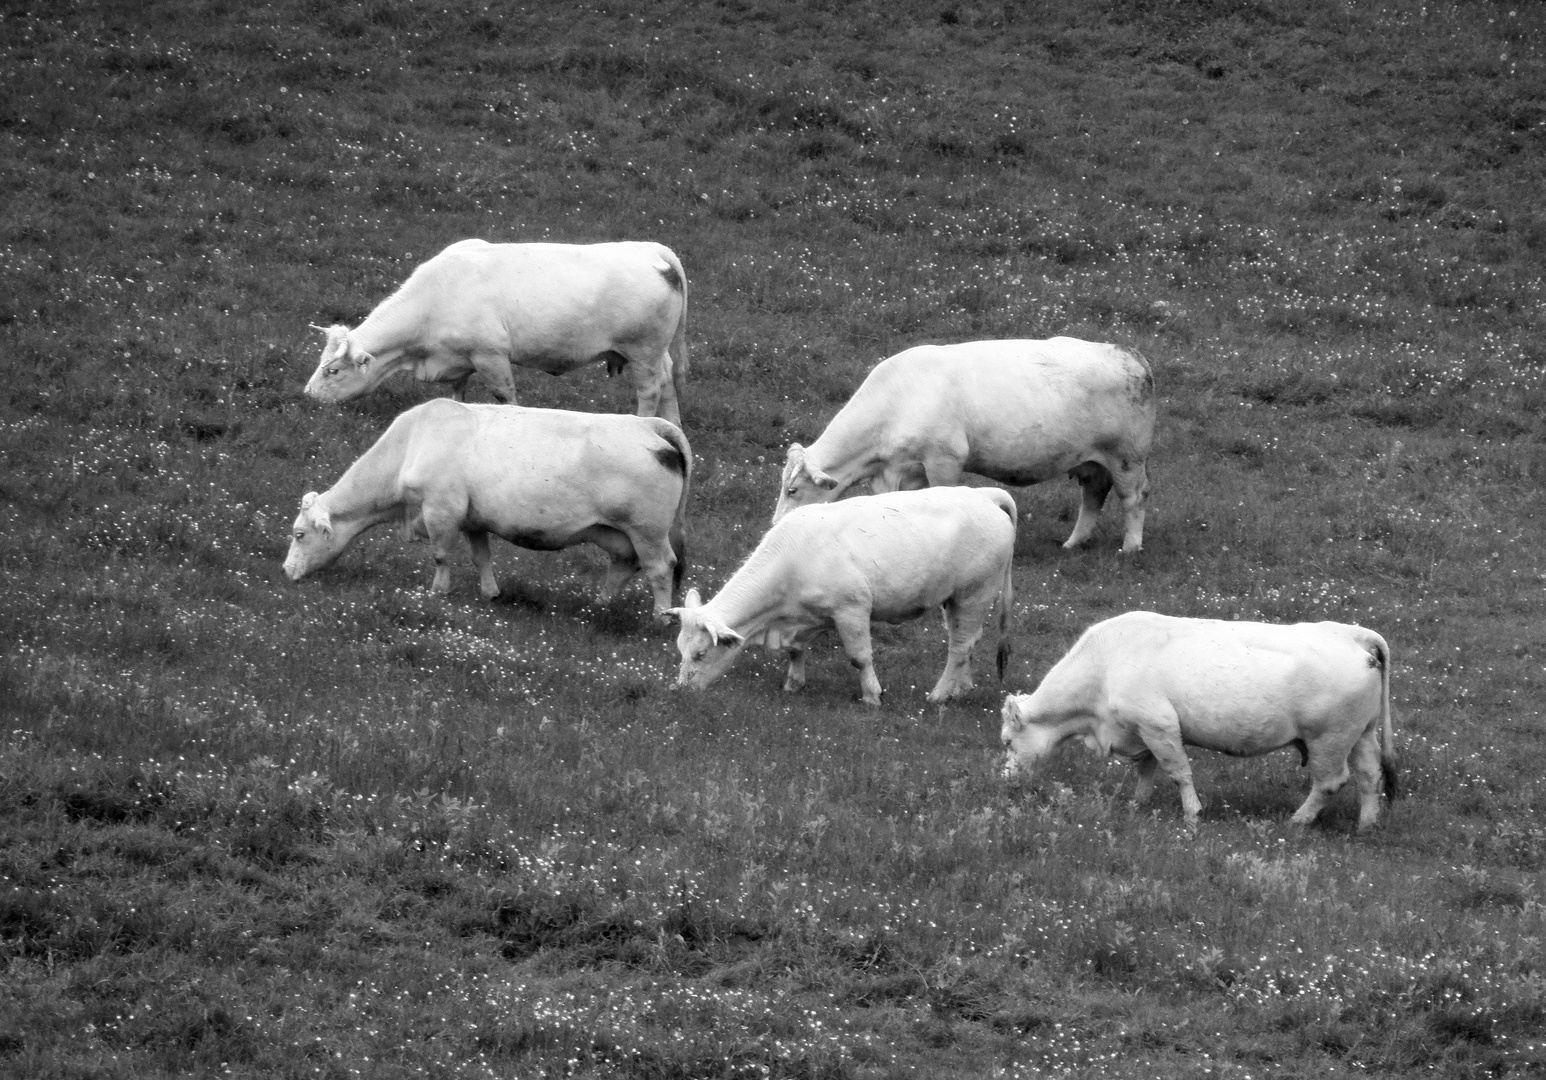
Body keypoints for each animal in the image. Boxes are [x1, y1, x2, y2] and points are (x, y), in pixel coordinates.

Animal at [281, 398, 692, 618]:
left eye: (299, 534)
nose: (286, 571)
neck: (413, 442)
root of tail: (649, 426)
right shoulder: (472, 519)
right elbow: (482, 556)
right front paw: (490, 593)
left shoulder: (441, 510)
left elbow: (441, 555)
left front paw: (438, 592)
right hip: (619, 534)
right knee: (623, 566)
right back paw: (599, 605)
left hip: (647, 531)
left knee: (661, 568)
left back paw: (661, 617)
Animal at [301, 237, 689, 423]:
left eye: (333, 371)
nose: (307, 396)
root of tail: (652, 250)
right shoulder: (458, 360)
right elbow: (456, 393)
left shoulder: (490, 355)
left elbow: (505, 397)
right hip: (656, 353)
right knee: (668, 384)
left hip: (642, 351)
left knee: (650, 391)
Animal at [670, 485, 1020, 704]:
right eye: (680, 650)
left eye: (700, 653)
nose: (682, 689)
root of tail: (985, 495)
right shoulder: (802, 617)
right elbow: (796, 651)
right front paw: (793, 685)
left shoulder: (852, 610)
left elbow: (859, 657)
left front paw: (873, 696)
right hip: (955, 601)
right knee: (968, 640)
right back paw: (960, 689)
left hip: (974, 594)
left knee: (960, 647)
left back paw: (938, 696)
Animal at [773, 338, 1150, 553]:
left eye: (792, 490)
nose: (775, 528)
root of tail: (1130, 355)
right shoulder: (901, 470)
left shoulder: (945, 458)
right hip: (1092, 460)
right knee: (1094, 494)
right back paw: (1074, 543)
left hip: (1127, 457)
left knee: (1134, 497)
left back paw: (1130, 547)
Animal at [1001, 611, 1403, 834]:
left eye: (1006, 741)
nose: (1004, 779)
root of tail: (1353, 634)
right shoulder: (1141, 733)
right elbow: (1145, 770)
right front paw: (1136, 804)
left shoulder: (1159, 725)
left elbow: (1178, 772)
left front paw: (1192, 815)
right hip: (1361, 735)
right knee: (1370, 777)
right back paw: (1366, 826)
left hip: (1328, 740)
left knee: (1330, 782)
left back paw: (1298, 820)